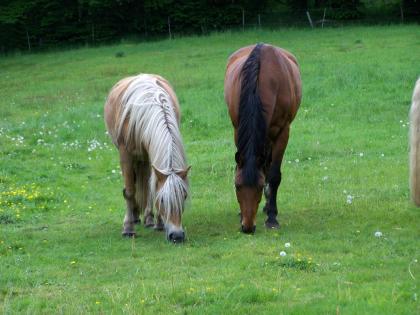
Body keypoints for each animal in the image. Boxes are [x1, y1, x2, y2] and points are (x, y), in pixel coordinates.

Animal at [105, 74, 190, 244]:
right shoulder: (126, 155)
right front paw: (128, 228)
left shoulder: (153, 156)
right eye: (163, 200)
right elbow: (129, 191)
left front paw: (159, 224)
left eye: (183, 196)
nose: (177, 236)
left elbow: (152, 188)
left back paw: (149, 219)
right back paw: (135, 217)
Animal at [225, 43, 300, 233]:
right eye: (237, 186)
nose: (247, 227)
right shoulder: (238, 129)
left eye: (259, 186)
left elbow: (273, 175)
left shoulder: (283, 132)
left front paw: (272, 217)